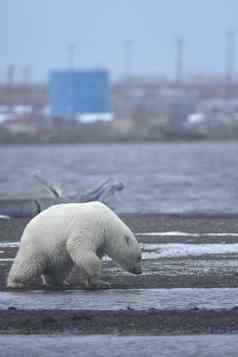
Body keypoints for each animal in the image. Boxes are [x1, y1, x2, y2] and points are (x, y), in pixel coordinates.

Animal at [6, 202, 142, 288]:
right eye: (139, 257)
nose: (139, 271)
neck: (106, 223)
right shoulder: (90, 224)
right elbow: (78, 246)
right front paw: (101, 282)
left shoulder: (101, 240)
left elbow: (90, 254)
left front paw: (91, 281)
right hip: (38, 241)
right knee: (28, 263)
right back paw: (16, 282)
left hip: (55, 251)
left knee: (59, 266)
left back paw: (59, 281)